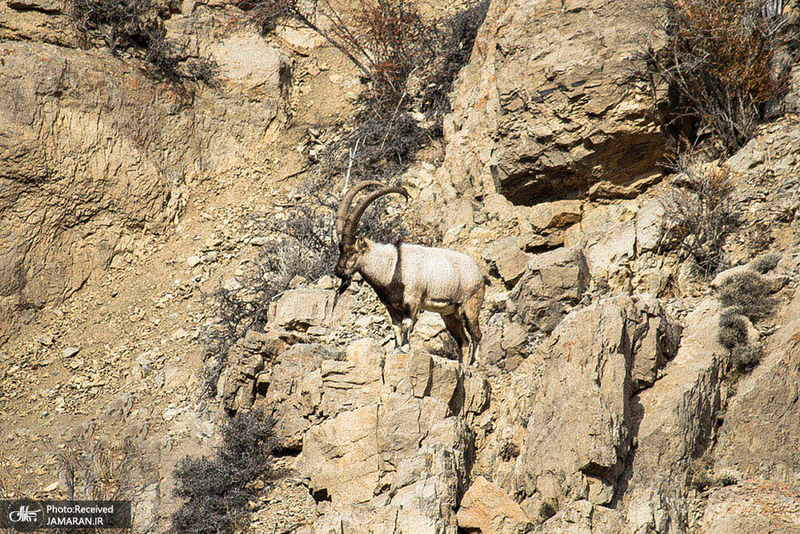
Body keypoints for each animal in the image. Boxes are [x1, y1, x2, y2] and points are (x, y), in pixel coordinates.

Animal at [332, 182, 484, 366]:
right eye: (340, 249)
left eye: (351, 252)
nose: (337, 271)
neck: (392, 268)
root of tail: (479, 273)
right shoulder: (392, 308)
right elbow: (396, 329)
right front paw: (396, 350)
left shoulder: (413, 303)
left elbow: (406, 327)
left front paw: (405, 350)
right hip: (450, 315)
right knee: (463, 340)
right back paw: (462, 365)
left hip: (470, 306)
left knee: (476, 335)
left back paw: (473, 363)